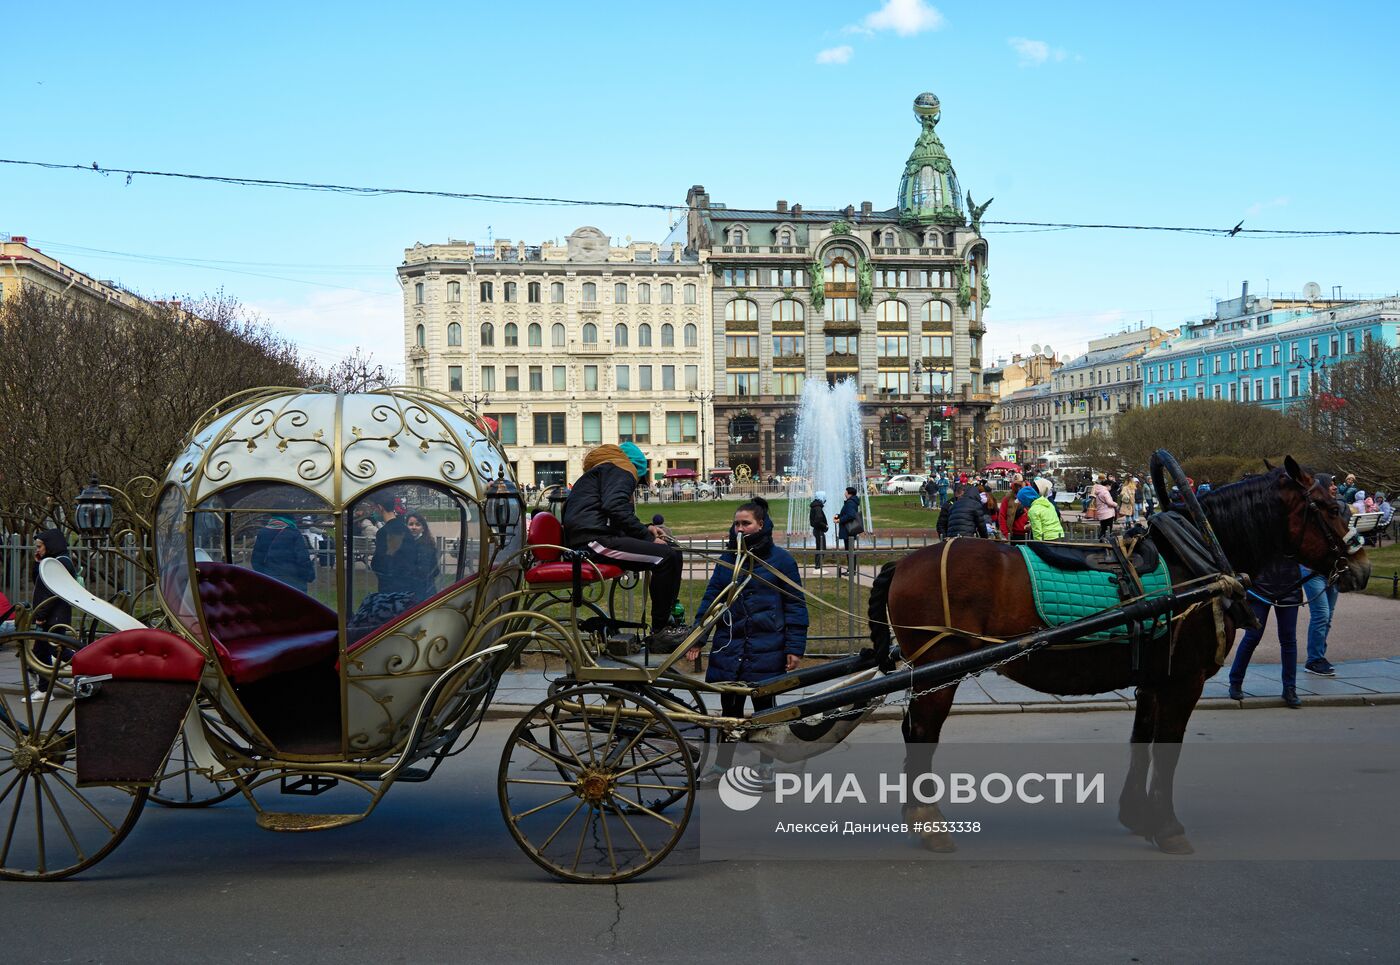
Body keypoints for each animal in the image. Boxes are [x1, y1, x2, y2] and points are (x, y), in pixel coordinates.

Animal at [868, 456, 1372, 857]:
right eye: (1330, 508)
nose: (1363, 569)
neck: (1194, 562)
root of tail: (903, 561)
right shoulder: (1184, 680)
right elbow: (1167, 750)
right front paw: (1167, 827)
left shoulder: (1154, 678)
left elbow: (1142, 742)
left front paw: (1137, 814)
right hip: (938, 674)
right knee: (922, 734)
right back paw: (928, 823)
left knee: (913, 731)